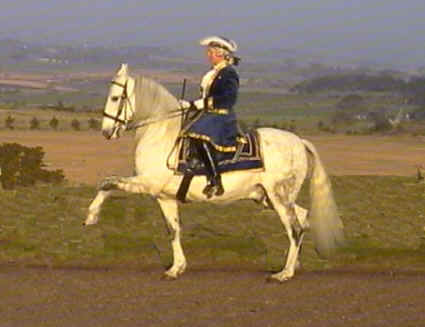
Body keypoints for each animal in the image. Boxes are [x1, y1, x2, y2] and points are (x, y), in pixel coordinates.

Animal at [84, 64, 342, 282]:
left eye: (115, 97)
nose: (106, 131)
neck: (161, 133)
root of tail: (299, 141)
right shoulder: (164, 197)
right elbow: (173, 230)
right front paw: (176, 268)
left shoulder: (147, 183)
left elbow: (107, 183)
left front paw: (91, 216)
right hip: (267, 197)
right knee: (303, 218)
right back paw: (294, 264)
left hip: (279, 197)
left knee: (294, 228)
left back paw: (284, 274)